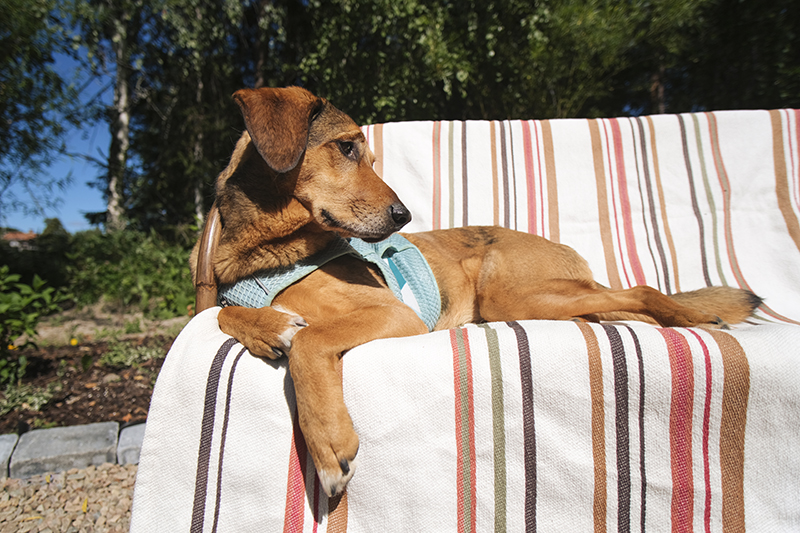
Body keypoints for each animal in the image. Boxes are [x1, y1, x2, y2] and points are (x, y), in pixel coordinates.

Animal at [191, 85, 760, 496]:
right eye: (346, 148)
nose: (404, 216)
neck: (270, 251)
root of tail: (561, 249)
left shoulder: (395, 314)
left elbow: (309, 341)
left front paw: (328, 445)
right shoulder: (235, 297)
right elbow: (224, 314)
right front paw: (268, 328)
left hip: (512, 293)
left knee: (639, 290)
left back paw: (695, 318)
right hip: (547, 303)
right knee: (618, 310)